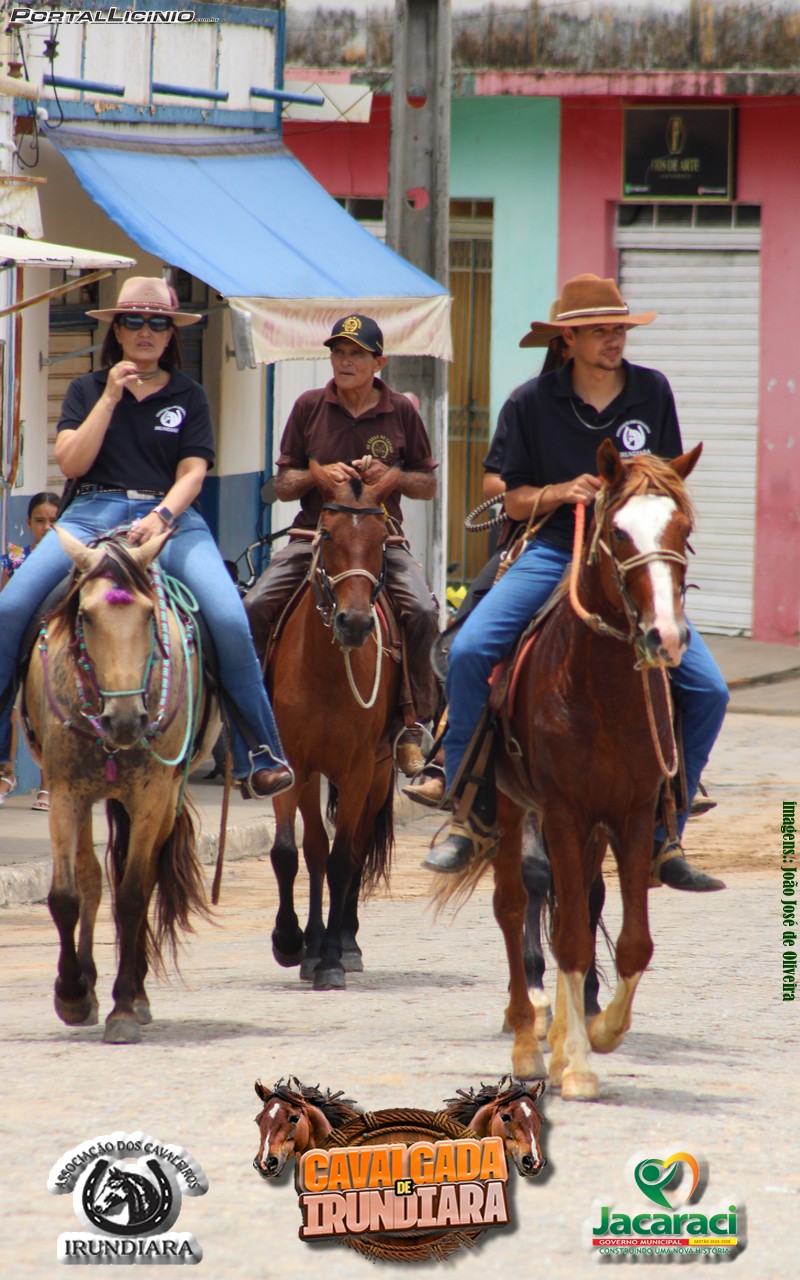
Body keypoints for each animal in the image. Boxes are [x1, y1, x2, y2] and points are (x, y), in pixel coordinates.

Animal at [21, 527, 218, 1044]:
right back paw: (89, 981)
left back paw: (137, 992)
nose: (126, 720)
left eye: (149, 615)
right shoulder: (64, 793)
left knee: (143, 881)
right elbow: (67, 895)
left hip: (163, 800)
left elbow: (131, 897)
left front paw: (124, 1008)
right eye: (86, 616)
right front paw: (72, 994)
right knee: (91, 877)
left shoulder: (151, 796)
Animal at [261, 463, 401, 990]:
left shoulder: (359, 769)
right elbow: (295, 851)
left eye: (383, 540)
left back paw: (346, 941)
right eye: (327, 534)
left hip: (379, 774)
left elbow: (343, 858)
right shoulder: (294, 764)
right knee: (319, 849)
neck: (325, 669)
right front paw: (292, 942)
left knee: (357, 850)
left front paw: (332, 961)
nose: (355, 623)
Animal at [437, 440, 701, 1100]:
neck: (599, 684)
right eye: (618, 533)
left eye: (684, 531)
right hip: (512, 806)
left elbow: (629, 942)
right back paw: (529, 1047)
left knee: (572, 899)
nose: (665, 637)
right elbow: (570, 933)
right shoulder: (560, 809)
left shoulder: (630, 811)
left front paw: (597, 1032)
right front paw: (579, 1062)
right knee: (514, 906)